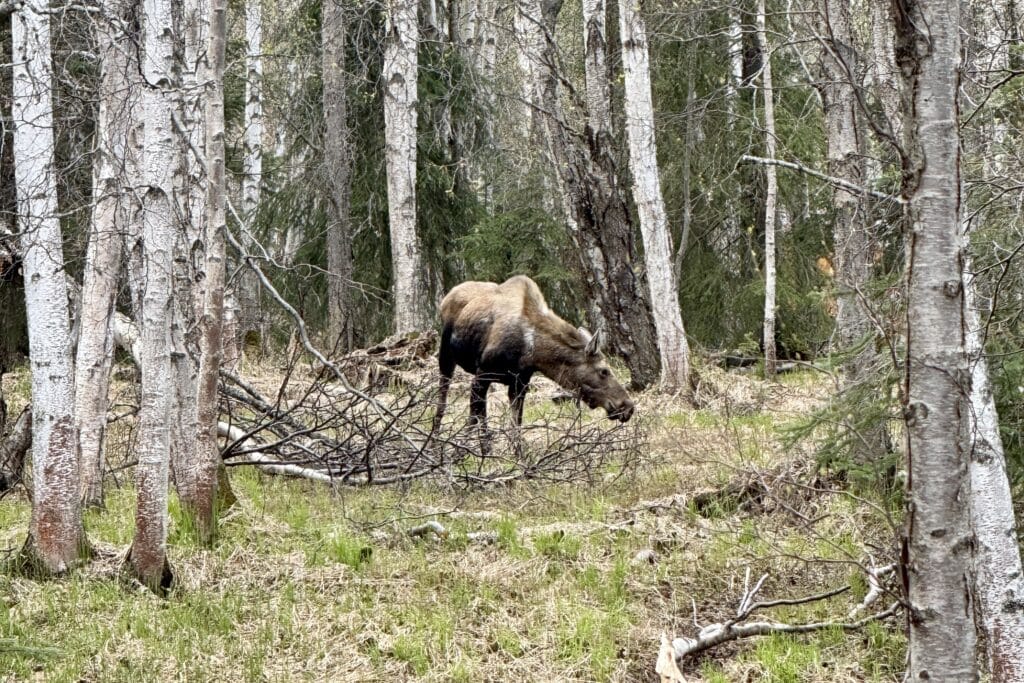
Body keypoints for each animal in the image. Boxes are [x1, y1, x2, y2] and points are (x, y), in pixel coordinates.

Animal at [430, 274, 630, 446]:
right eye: (604, 371)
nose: (627, 406)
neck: (532, 353)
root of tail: (446, 298)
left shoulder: (520, 384)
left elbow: (515, 428)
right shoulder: (482, 375)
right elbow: (474, 421)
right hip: (445, 356)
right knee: (442, 403)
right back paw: (434, 442)